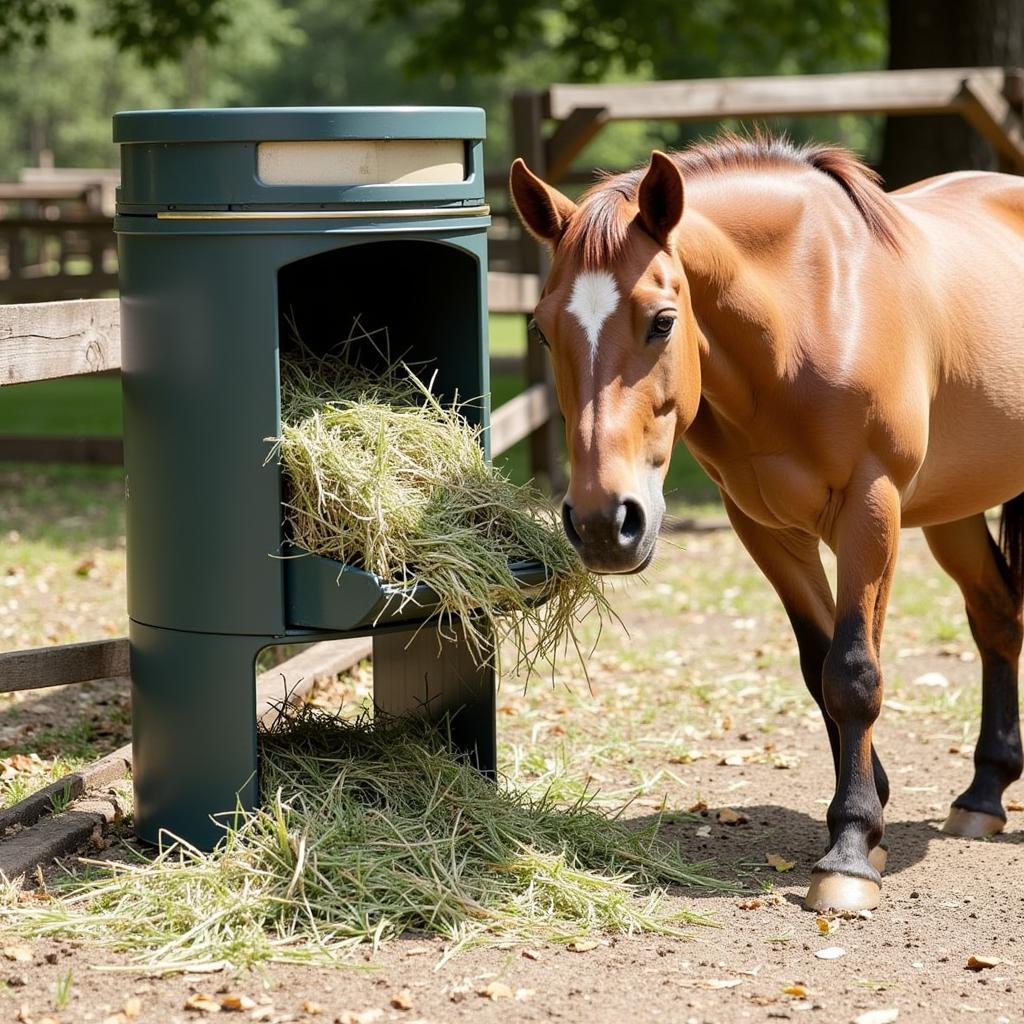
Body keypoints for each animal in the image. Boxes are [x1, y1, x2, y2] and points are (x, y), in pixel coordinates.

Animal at [512, 136, 1024, 913]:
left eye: (663, 320)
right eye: (542, 329)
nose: (604, 523)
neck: (809, 312)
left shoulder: (871, 509)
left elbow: (854, 672)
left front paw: (850, 851)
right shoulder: (765, 528)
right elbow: (821, 670)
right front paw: (869, 807)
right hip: (956, 508)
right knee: (996, 615)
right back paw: (985, 794)